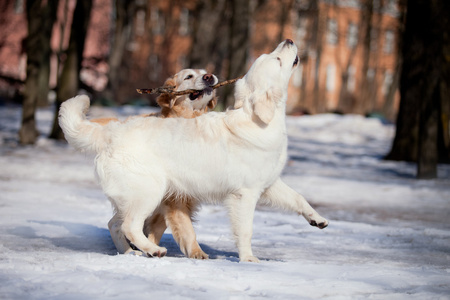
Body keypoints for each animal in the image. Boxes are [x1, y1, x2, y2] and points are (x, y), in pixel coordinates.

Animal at [59, 40, 326, 262]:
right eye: (277, 59)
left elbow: (298, 198)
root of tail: (111, 131)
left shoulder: (270, 184)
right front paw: (249, 259)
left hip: (136, 196)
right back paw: (153, 250)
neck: (257, 120)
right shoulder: (245, 194)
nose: (289, 40)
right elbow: (245, 230)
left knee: (115, 223)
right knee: (129, 226)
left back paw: (131, 253)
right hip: (150, 192)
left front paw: (317, 218)